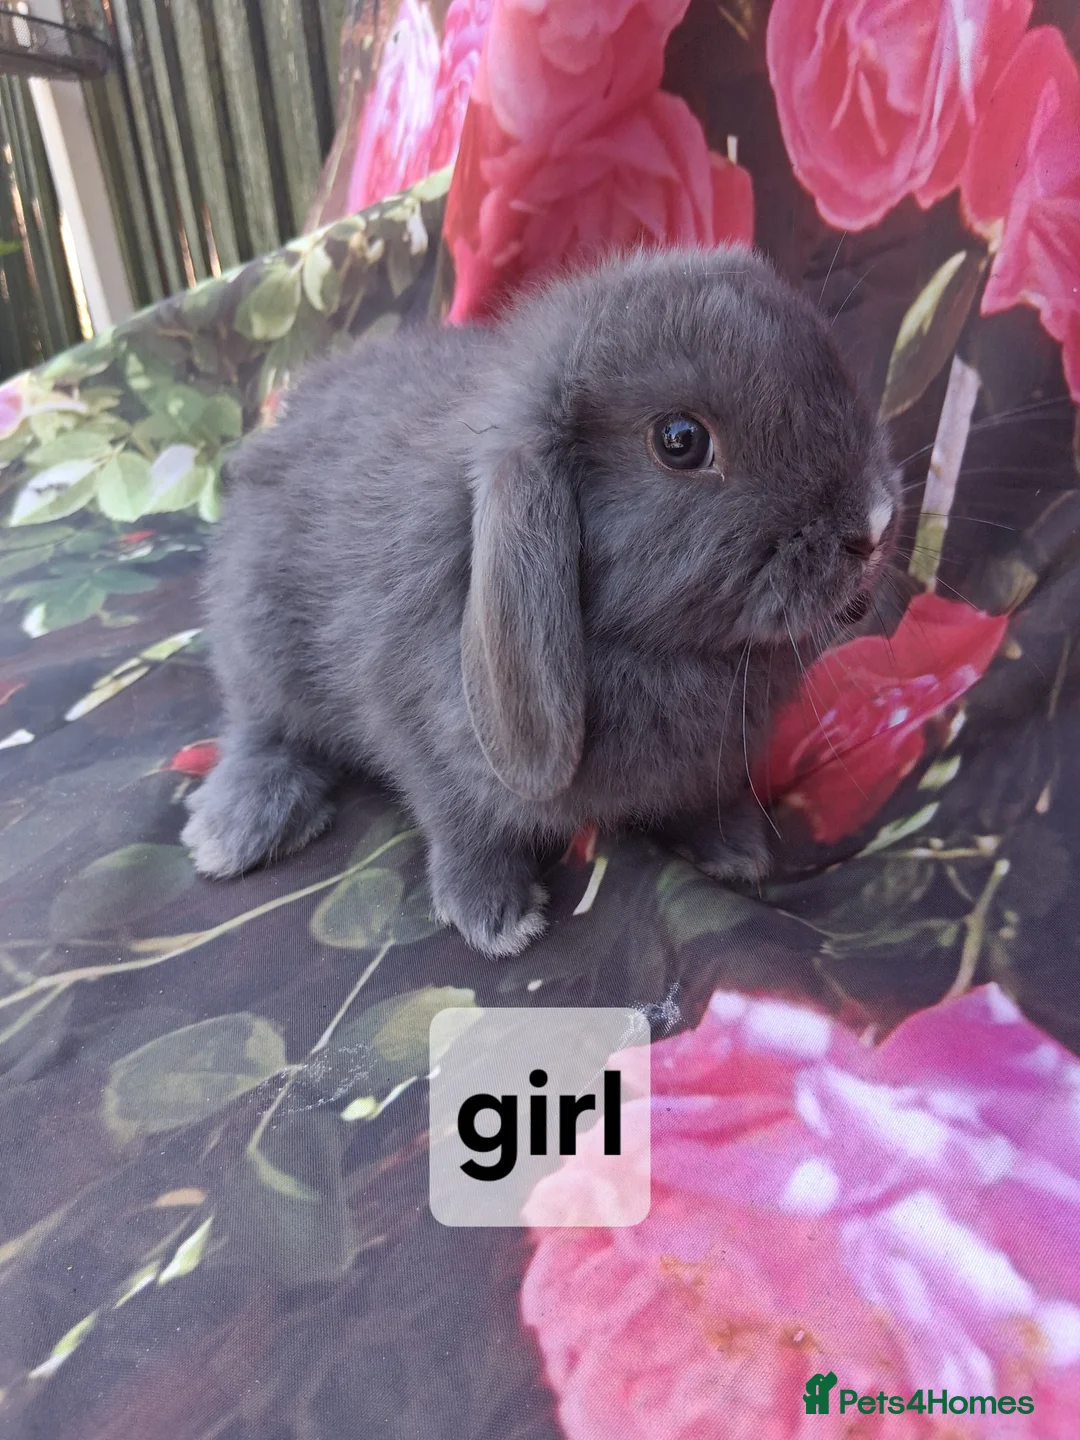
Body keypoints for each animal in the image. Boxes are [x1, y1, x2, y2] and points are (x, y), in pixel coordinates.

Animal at [182, 245, 899, 957]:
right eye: (680, 440)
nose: (875, 524)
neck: (662, 651)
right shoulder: (424, 732)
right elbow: (464, 822)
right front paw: (493, 915)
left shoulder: (713, 763)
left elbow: (704, 796)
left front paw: (735, 850)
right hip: (261, 643)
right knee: (262, 728)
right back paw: (236, 830)